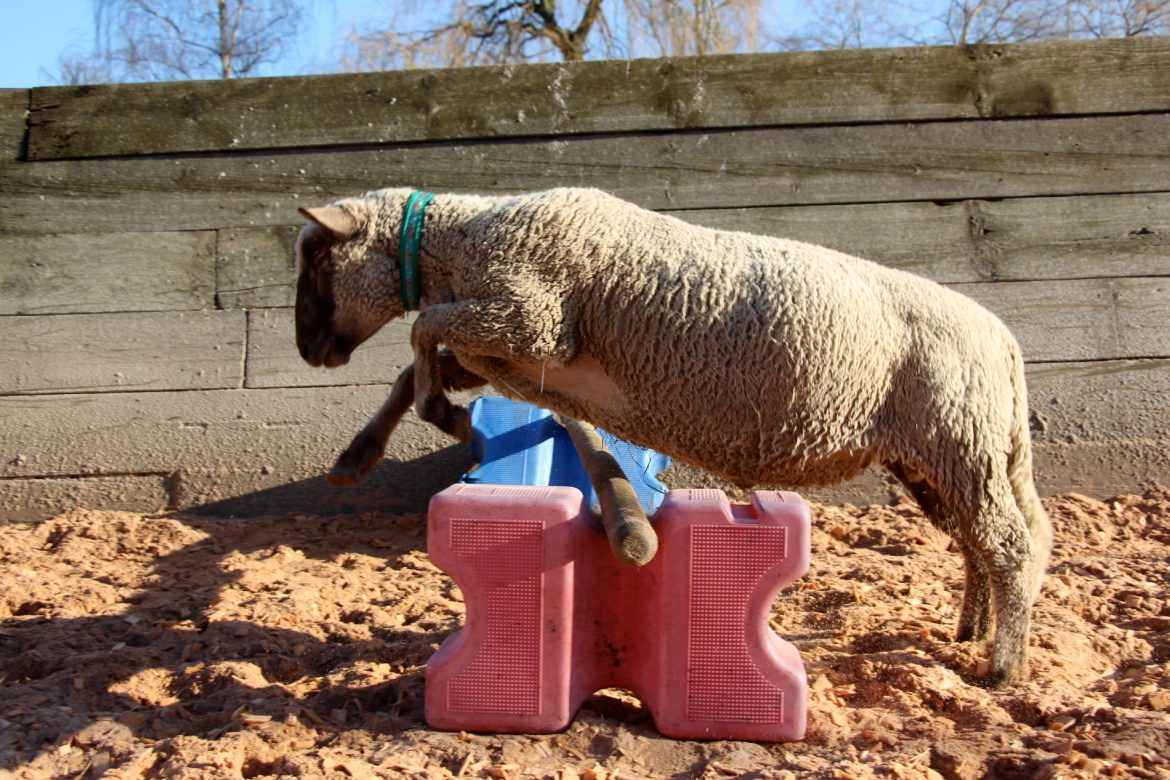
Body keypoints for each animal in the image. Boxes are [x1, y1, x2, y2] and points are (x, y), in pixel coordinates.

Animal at [294, 186, 1053, 687]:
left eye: (317, 256)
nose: (307, 352)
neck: (464, 241)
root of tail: (1005, 341)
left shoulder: (530, 321)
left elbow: (421, 335)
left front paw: (443, 416)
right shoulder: (508, 348)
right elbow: (415, 362)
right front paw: (357, 457)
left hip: (960, 443)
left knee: (1011, 545)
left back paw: (1004, 666)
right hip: (943, 458)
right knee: (986, 541)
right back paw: (973, 629)